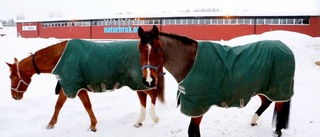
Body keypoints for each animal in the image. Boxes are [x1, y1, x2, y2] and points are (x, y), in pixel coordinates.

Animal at [5, 39, 165, 132]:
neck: (59, 57)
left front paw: (93, 125)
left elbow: (87, 106)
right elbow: (58, 105)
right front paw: (51, 124)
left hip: (139, 82)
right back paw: (139, 121)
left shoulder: (76, 86)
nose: (14, 96)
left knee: (152, 94)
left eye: (11, 77)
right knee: (143, 98)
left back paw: (154, 118)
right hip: (136, 84)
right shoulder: (68, 85)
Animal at [138, 25, 296, 136]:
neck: (191, 62)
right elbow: (195, 131)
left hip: (278, 88)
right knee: (266, 102)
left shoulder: (198, 105)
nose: (148, 80)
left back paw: (277, 131)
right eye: (139, 49)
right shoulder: (195, 107)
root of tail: (285, 47)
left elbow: (192, 131)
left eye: (158, 49)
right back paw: (253, 121)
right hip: (263, 88)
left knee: (279, 108)